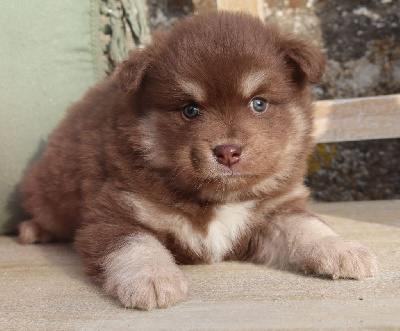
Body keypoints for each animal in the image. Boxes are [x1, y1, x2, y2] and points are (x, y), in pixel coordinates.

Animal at [17, 11, 376, 312]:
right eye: (190, 109)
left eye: (258, 103)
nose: (228, 151)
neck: (216, 198)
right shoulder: (114, 212)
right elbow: (136, 245)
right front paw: (153, 279)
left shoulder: (275, 210)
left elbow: (309, 227)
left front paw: (343, 249)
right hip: (51, 195)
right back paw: (32, 230)